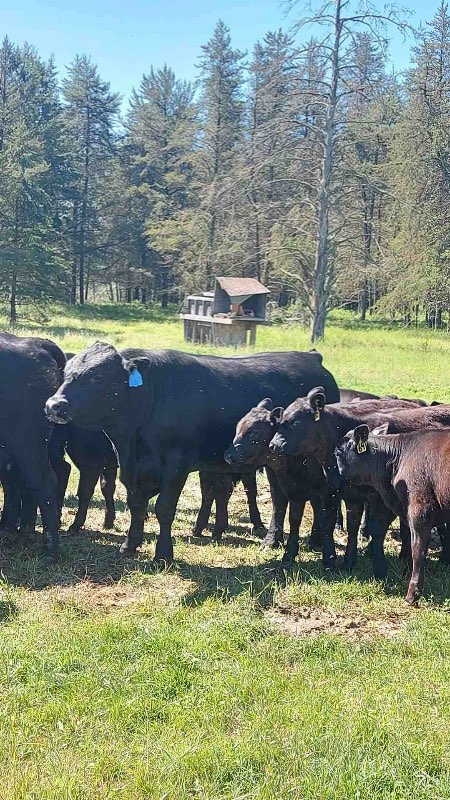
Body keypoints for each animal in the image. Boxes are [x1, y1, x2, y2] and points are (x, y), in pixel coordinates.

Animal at [45, 343, 340, 565]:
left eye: (98, 377)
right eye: (66, 372)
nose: (53, 405)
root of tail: (311, 356)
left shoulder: (176, 465)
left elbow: (164, 509)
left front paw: (163, 555)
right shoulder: (129, 466)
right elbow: (136, 504)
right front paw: (130, 544)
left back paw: (313, 541)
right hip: (274, 462)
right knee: (279, 500)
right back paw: (272, 539)